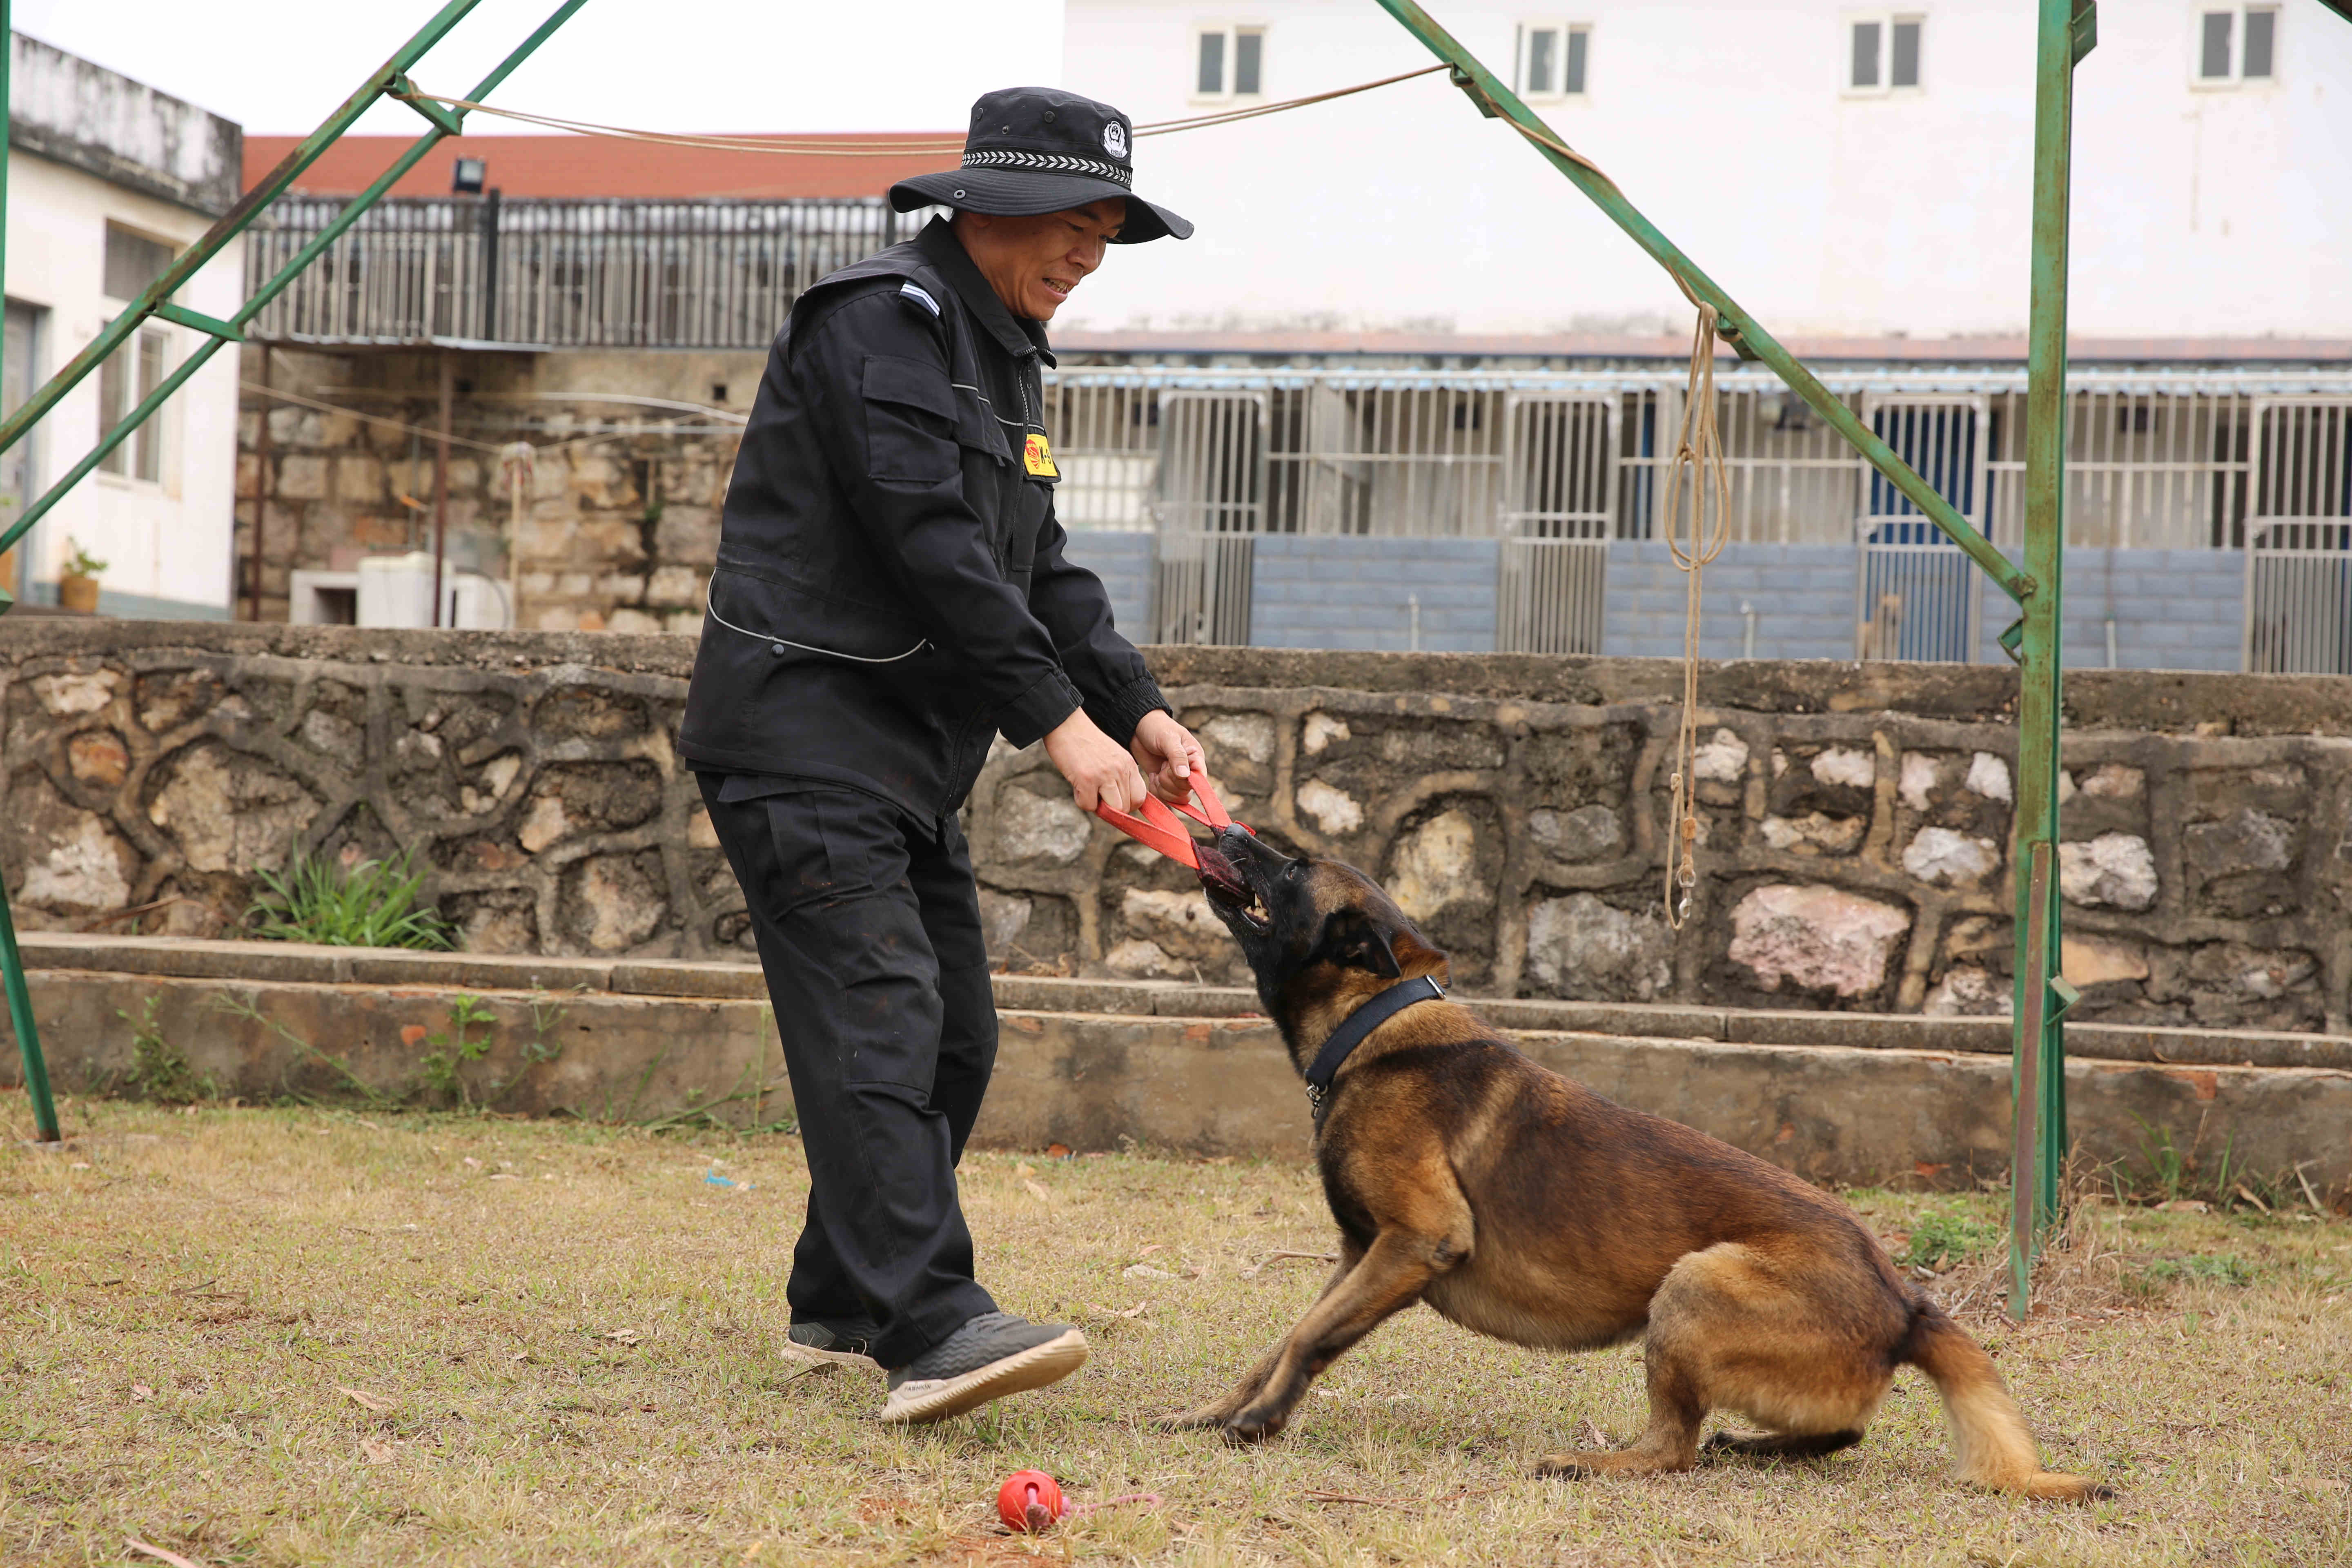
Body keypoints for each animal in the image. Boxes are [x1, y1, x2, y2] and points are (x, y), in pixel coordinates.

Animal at [1176, 827, 2117, 1504]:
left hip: (1694, 1286)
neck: (1373, 1026)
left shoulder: (1417, 1242)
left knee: (1675, 1451)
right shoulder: (1358, 1254)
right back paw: (1763, 1448)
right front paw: (1228, 1408)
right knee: (1834, 1432)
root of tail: (1906, 1302)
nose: (1218, 824)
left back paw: (1596, 1465)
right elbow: (1284, 1336)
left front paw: (1259, 1423)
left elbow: (1310, 1336)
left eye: (1292, 866)